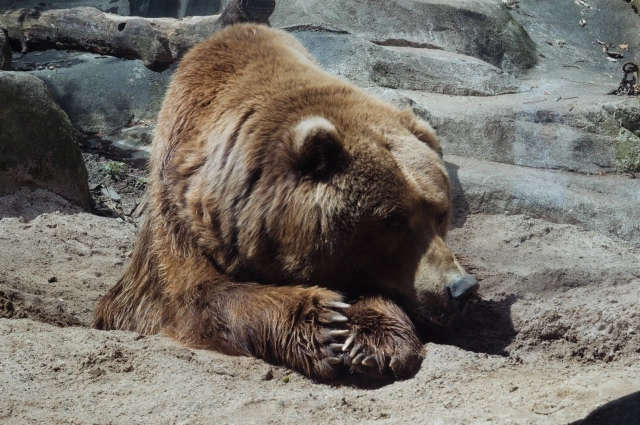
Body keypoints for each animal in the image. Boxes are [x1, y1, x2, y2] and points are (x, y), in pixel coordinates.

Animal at [94, 23, 476, 380]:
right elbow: (194, 296)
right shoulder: (180, 216)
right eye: (394, 220)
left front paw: (371, 340)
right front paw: (325, 322)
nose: (460, 288)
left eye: (440, 213)